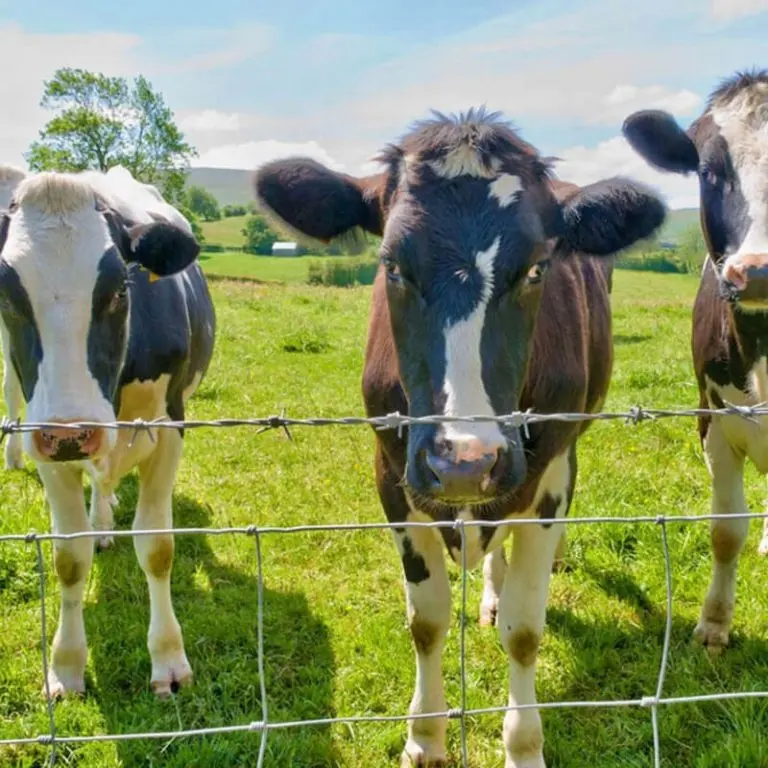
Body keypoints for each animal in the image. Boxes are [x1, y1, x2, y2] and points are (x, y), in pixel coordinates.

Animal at [0, 165, 216, 700]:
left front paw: (168, 659)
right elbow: (69, 557)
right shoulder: (44, 440)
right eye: (6, 296)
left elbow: (157, 548)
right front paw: (66, 665)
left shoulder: (169, 427)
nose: (72, 432)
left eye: (120, 289)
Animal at [252, 109, 664, 768]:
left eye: (537, 267)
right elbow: (427, 621)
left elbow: (525, 629)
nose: (464, 462)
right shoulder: (392, 472)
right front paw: (425, 736)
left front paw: (523, 747)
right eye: (392, 265)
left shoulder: (546, 479)